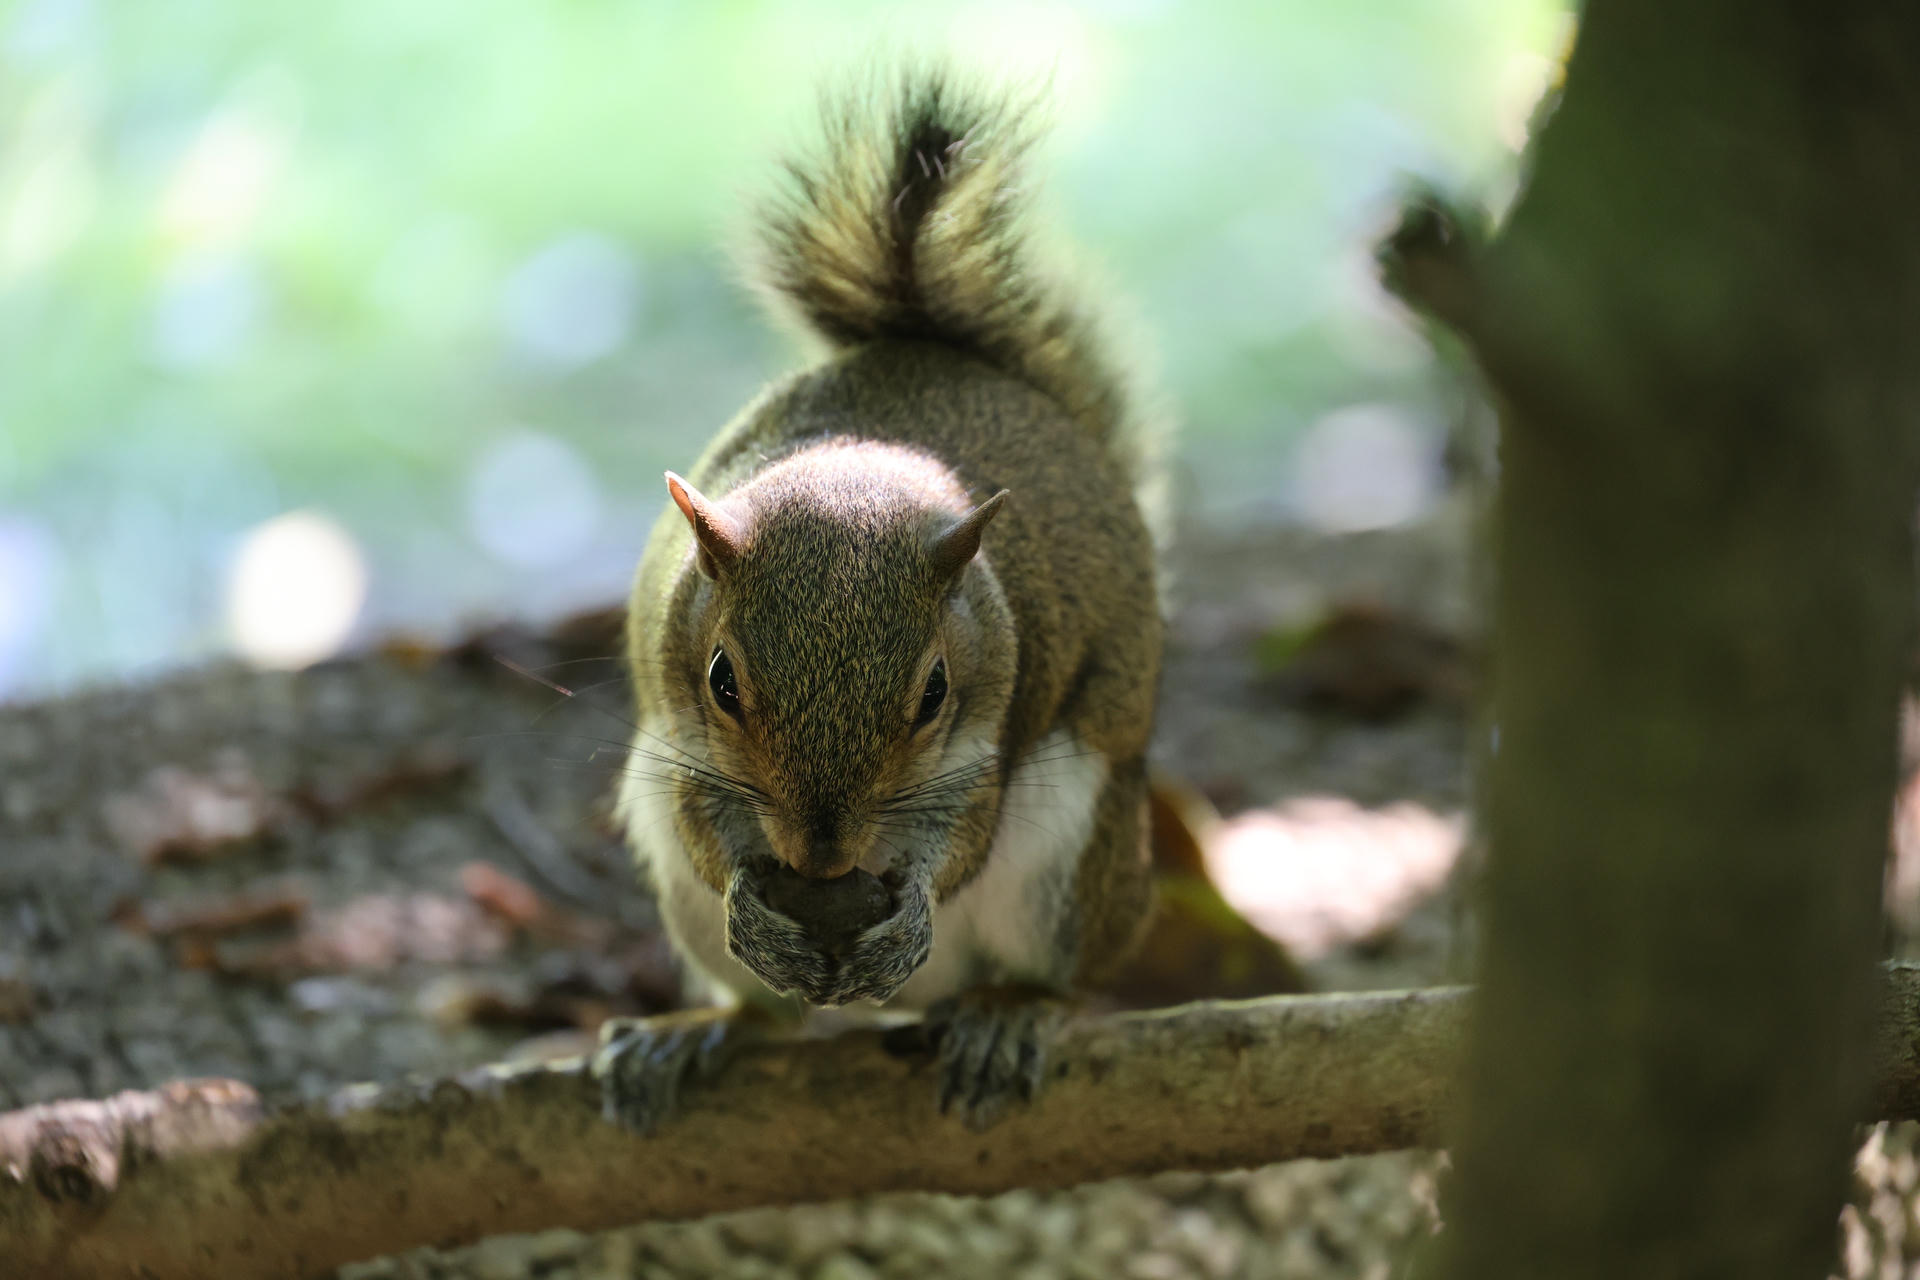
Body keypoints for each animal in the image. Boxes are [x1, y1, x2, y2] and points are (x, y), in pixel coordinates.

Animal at [593, 66, 1165, 1133]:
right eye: (721, 679)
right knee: (765, 1013)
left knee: (1054, 973)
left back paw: (1006, 1014)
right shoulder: (681, 727)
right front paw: (748, 904)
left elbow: (966, 839)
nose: (821, 858)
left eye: (934, 691)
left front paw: (917, 910)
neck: (858, 464)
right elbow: (702, 830)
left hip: (1074, 858)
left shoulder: (996, 723)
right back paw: (697, 1031)